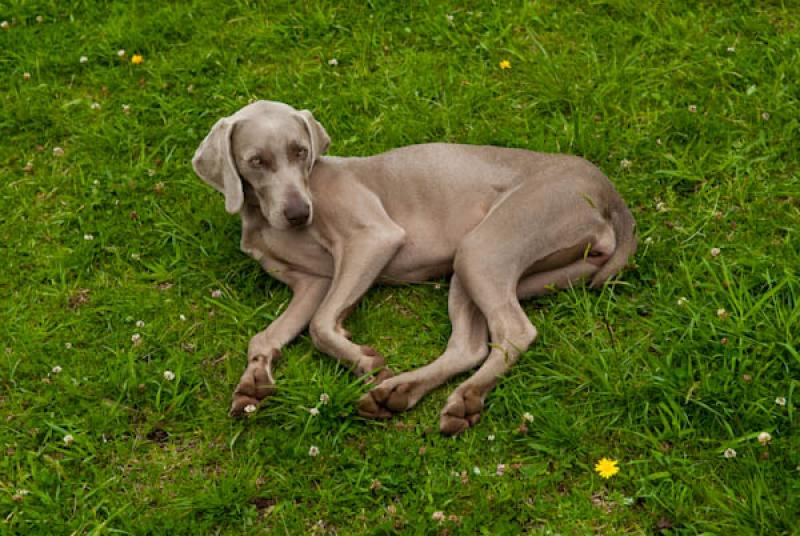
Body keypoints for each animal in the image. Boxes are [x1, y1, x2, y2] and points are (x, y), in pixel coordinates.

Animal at [191, 99, 636, 436]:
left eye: (301, 151)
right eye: (256, 161)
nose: (300, 213)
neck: (261, 216)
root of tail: (610, 194)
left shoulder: (373, 238)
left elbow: (320, 325)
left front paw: (364, 361)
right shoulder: (312, 282)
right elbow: (265, 336)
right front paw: (253, 382)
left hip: (485, 245)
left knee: (514, 332)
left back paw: (465, 397)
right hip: (485, 265)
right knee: (469, 346)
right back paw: (400, 393)